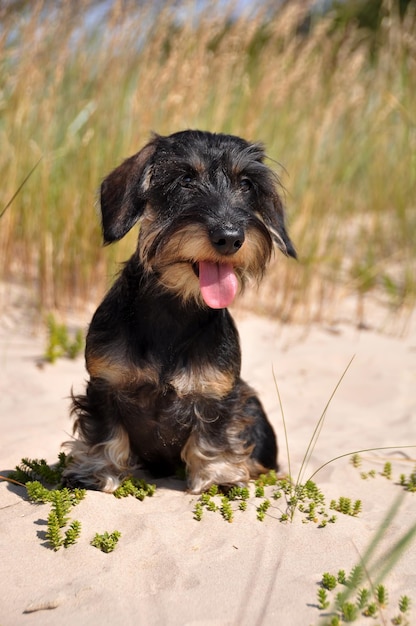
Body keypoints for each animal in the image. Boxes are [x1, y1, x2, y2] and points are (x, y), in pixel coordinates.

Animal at [62, 130, 296, 492]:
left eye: (246, 184)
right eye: (185, 179)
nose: (230, 237)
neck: (175, 308)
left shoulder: (219, 394)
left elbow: (214, 437)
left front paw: (219, 475)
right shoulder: (105, 385)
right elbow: (105, 434)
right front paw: (97, 471)